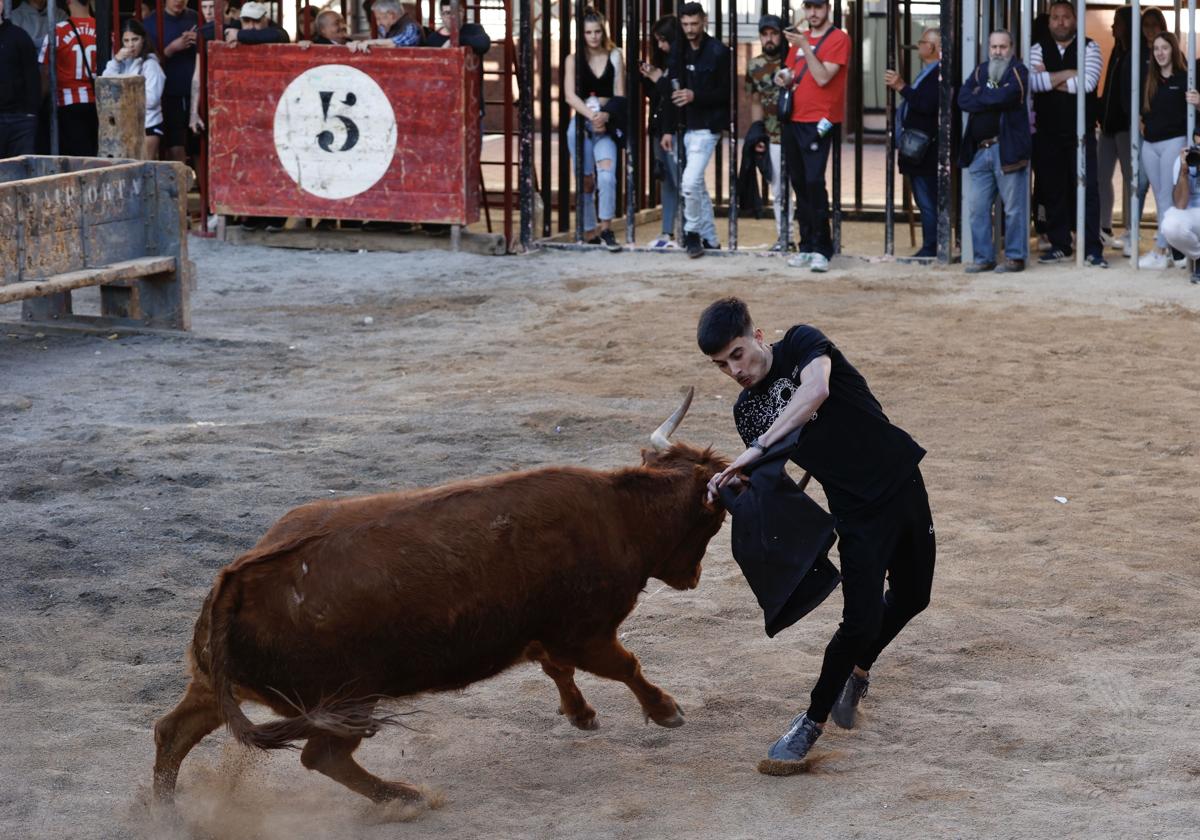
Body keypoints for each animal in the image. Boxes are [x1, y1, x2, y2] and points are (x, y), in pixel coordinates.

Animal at [153, 391, 724, 801]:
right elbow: (626, 665)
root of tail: (236, 577)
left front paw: (581, 715)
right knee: (321, 757)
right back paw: (405, 797)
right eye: (714, 519)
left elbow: (556, 670)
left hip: (220, 685)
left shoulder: (545, 634)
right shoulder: (585, 634)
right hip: (349, 698)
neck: (620, 514)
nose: (693, 578)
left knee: (171, 732)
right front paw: (666, 710)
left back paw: (163, 812)